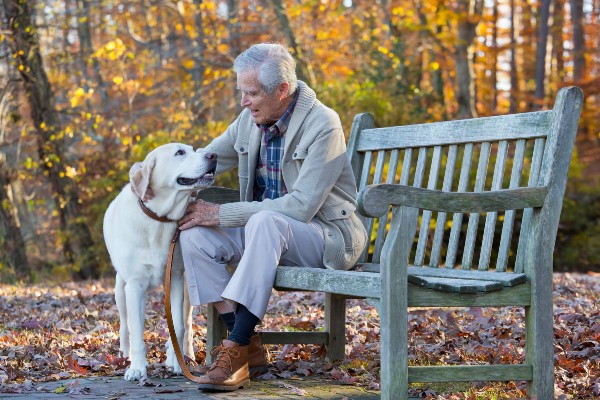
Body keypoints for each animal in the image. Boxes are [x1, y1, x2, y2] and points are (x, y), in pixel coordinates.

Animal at [103, 142, 218, 380]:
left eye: (194, 149)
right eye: (179, 153)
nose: (214, 155)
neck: (160, 220)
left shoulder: (175, 278)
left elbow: (178, 325)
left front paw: (176, 362)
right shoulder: (134, 286)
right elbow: (137, 330)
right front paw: (137, 368)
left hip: (187, 288)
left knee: (187, 324)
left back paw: (186, 354)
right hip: (120, 289)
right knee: (125, 325)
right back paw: (125, 354)